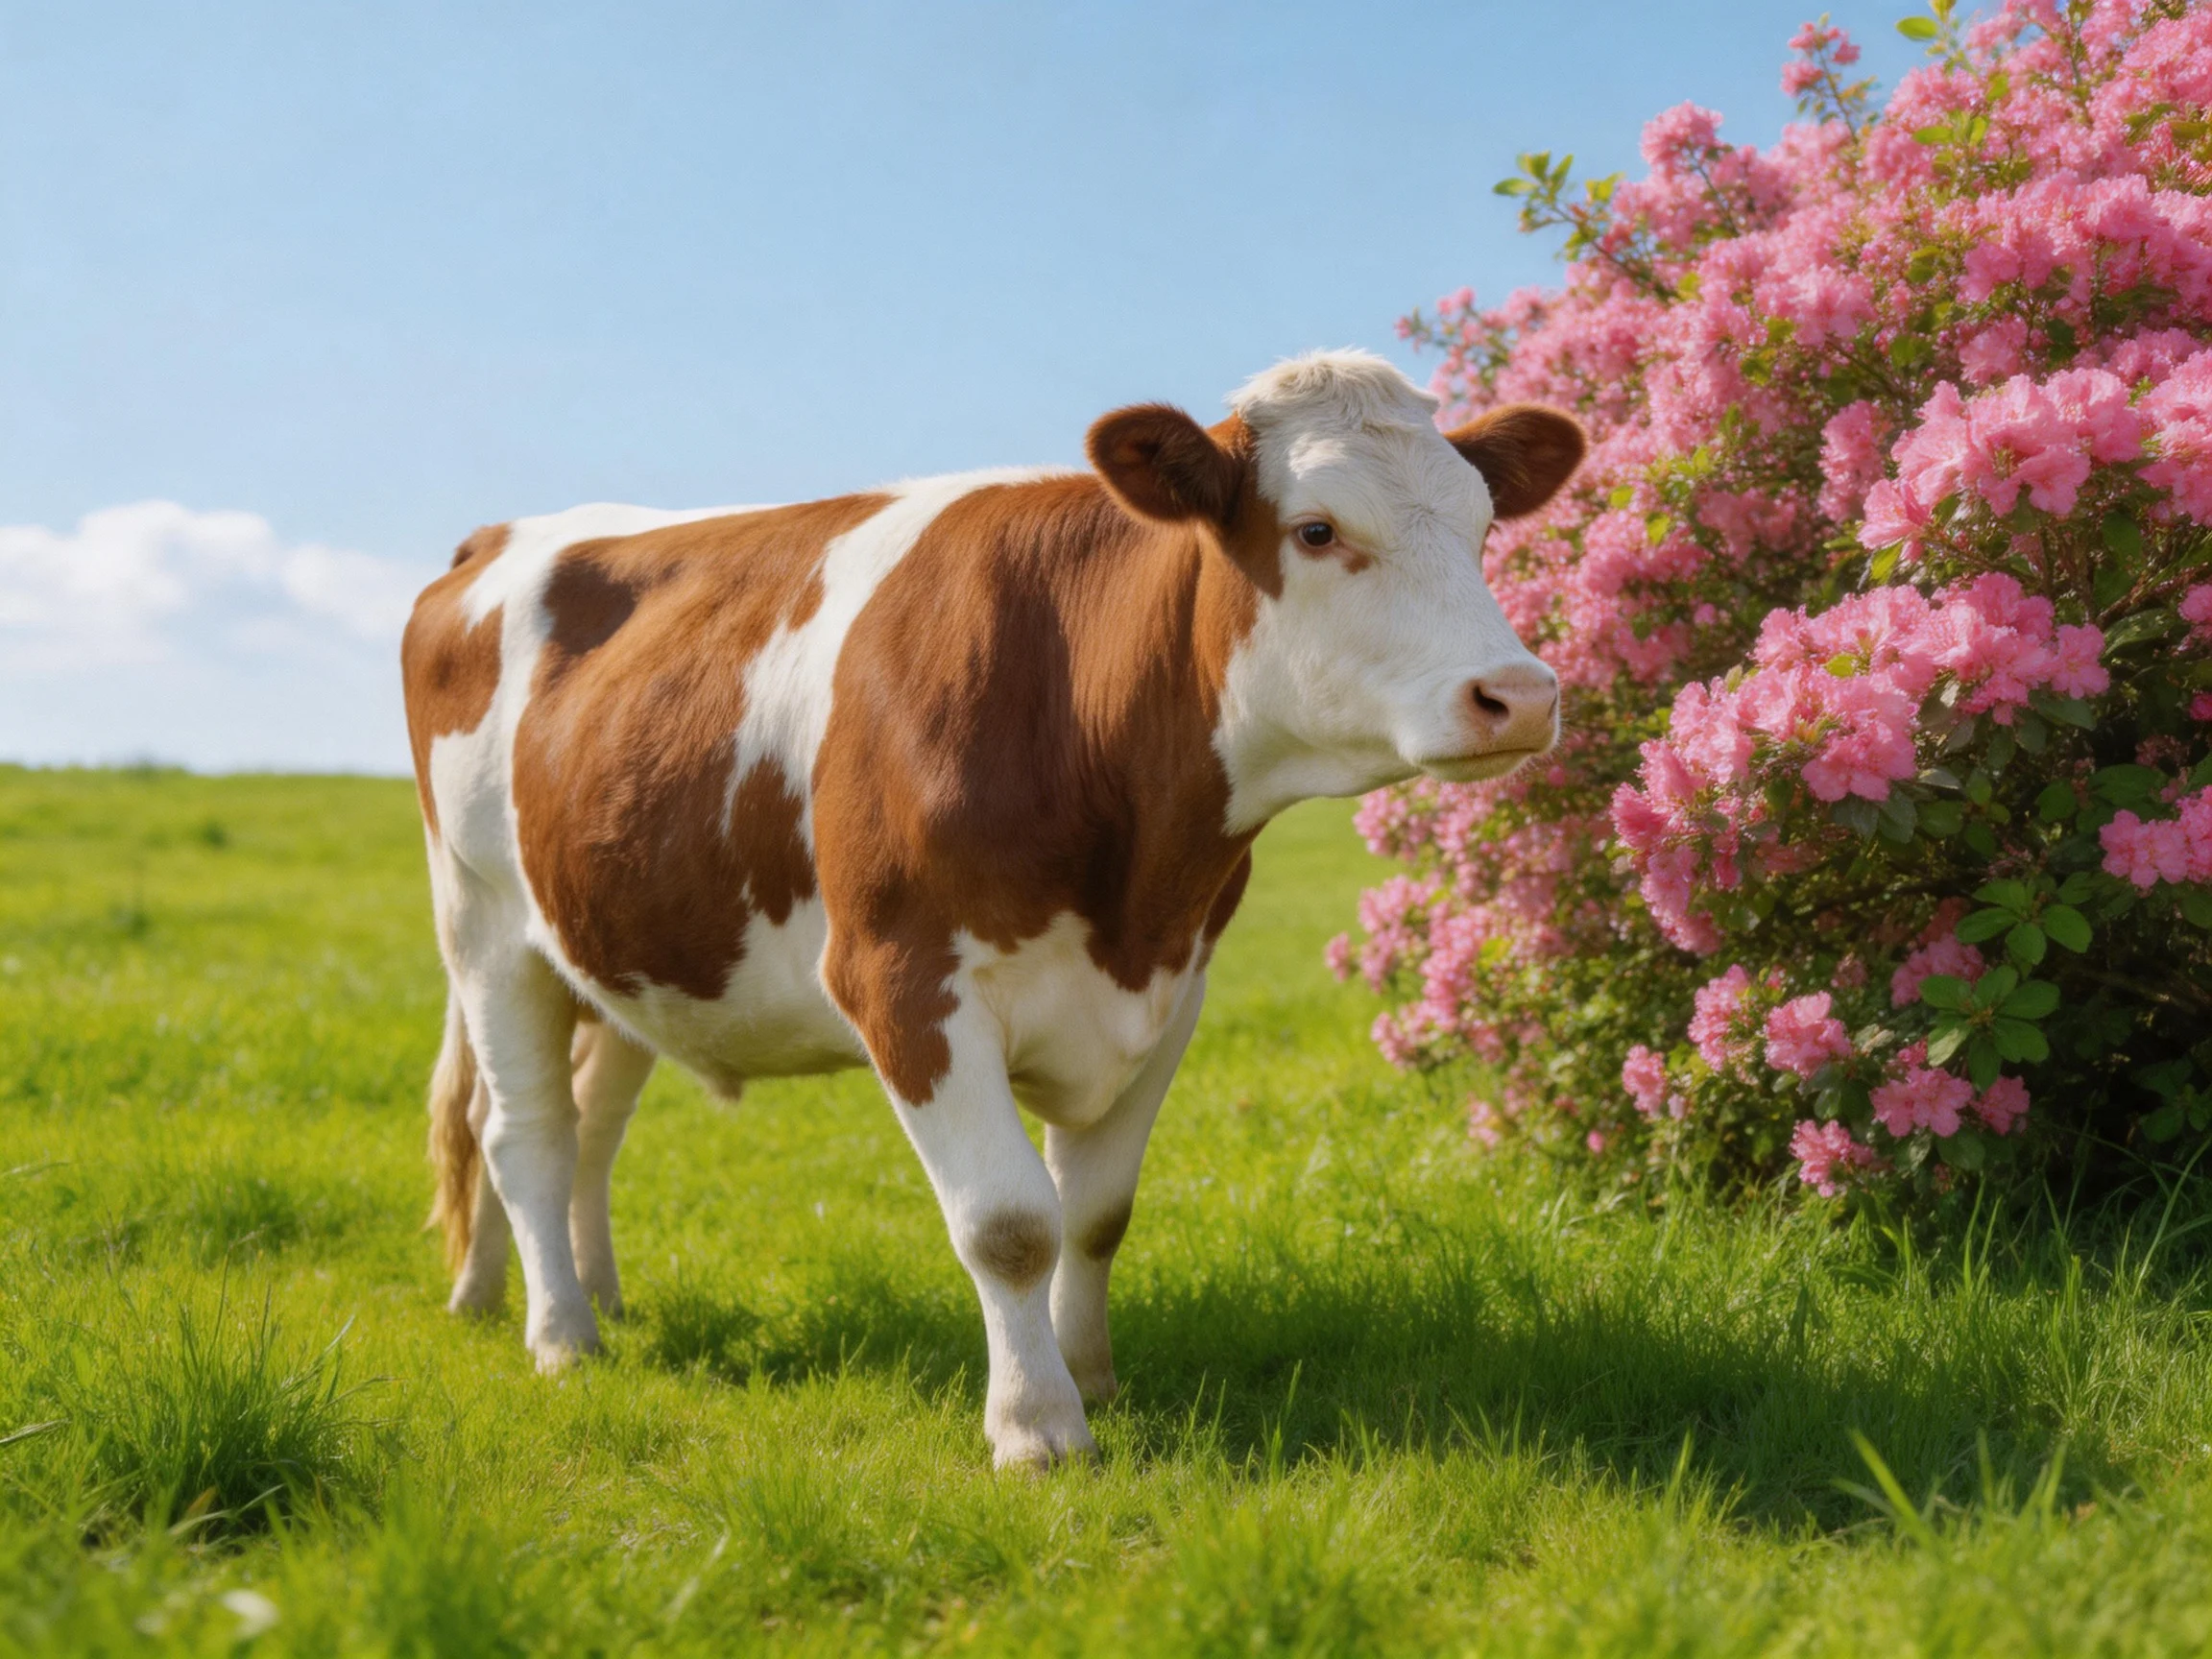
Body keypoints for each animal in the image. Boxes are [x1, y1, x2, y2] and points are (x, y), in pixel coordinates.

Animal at [400, 349, 1582, 1468]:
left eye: (1483, 527)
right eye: (1318, 529)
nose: (1521, 695)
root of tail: (498, 538)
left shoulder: (1175, 988)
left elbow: (1096, 1216)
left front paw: (1094, 1379)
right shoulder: (903, 979)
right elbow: (1010, 1224)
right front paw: (1039, 1427)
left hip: (618, 946)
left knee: (589, 1122)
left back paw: (545, 1295)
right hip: (486, 927)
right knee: (523, 1131)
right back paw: (560, 1336)